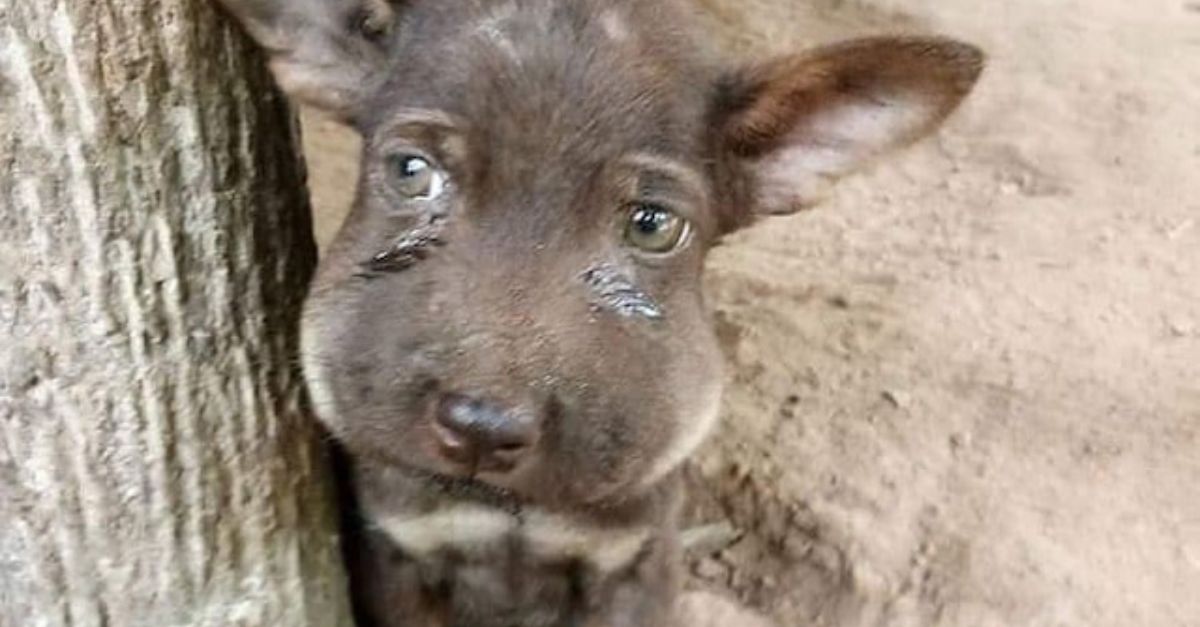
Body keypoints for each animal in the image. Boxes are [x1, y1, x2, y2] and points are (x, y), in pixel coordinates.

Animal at [216, 2, 984, 619]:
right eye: (410, 171)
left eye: (652, 224)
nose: (481, 429)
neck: (509, 509)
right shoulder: (399, 554)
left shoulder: (631, 563)